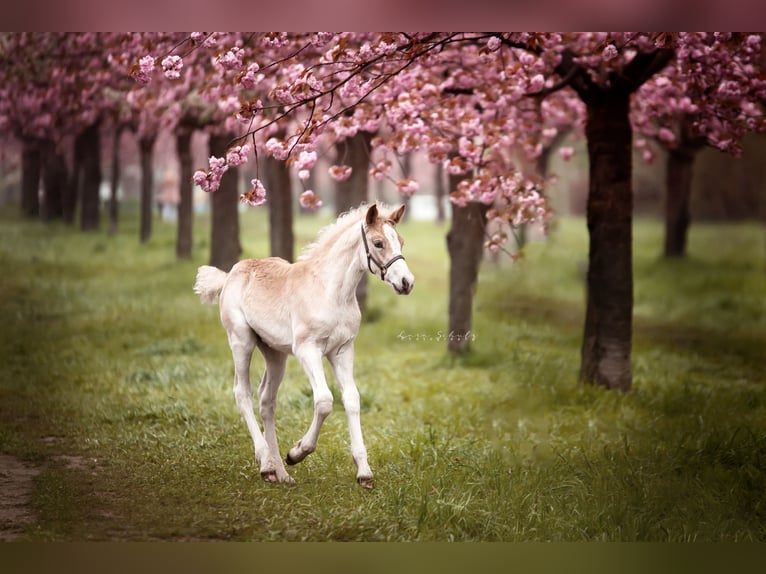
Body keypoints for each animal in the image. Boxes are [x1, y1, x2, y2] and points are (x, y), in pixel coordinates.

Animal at [195, 205, 416, 488]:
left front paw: (364, 472)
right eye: (378, 243)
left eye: (401, 242)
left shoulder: (342, 350)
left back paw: (280, 472)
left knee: (267, 400)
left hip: (275, 354)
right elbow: (324, 401)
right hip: (241, 341)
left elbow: (352, 399)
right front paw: (297, 452)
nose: (407, 282)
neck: (331, 291)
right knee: (242, 393)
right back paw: (266, 463)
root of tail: (230, 275)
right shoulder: (307, 350)